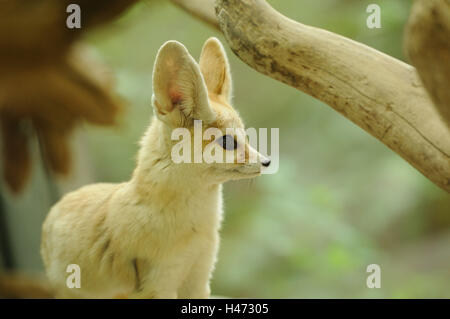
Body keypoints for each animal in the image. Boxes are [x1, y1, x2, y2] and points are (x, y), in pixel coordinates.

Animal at [40, 38, 270, 300]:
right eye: (228, 142)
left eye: (247, 138)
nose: (267, 162)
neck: (196, 228)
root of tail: (53, 211)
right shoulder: (158, 285)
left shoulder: (200, 278)